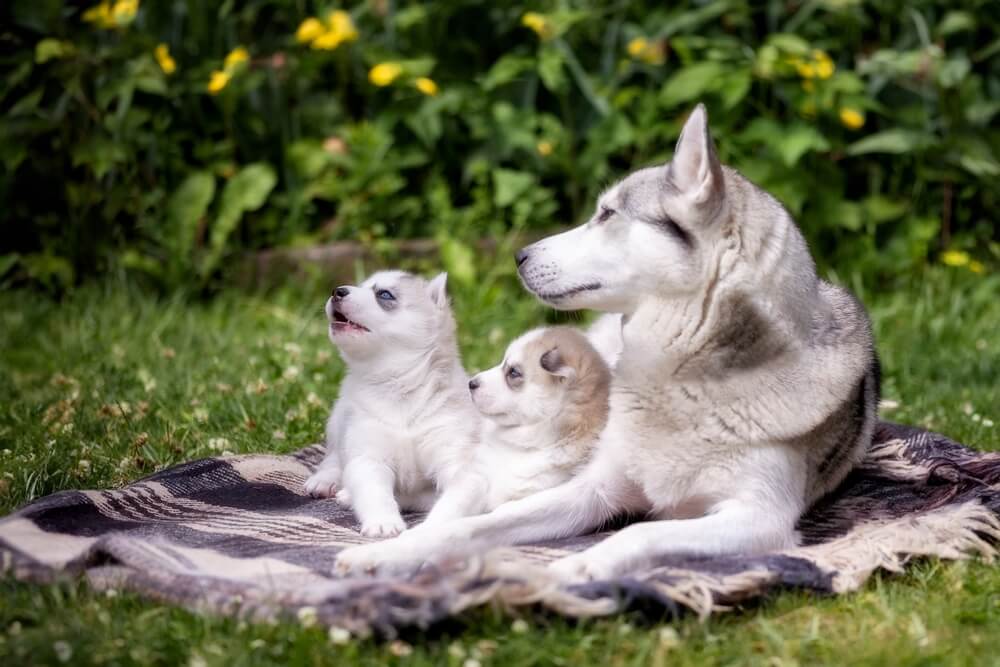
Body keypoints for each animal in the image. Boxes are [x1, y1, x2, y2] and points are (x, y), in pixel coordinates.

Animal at [302, 272, 482, 536]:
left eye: (384, 294)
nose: (337, 291)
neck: (398, 387)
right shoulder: (368, 457)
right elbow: (374, 493)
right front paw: (383, 523)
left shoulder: (457, 459)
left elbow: (450, 499)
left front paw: (433, 528)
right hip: (338, 418)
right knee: (333, 455)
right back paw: (324, 480)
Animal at [334, 104, 876, 580]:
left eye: (607, 213)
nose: (518, 255)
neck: (681, 376)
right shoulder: (593, 489)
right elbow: (477, 524)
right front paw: (393, 551)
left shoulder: (760, 518)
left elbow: (640, 533)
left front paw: (581, 566)